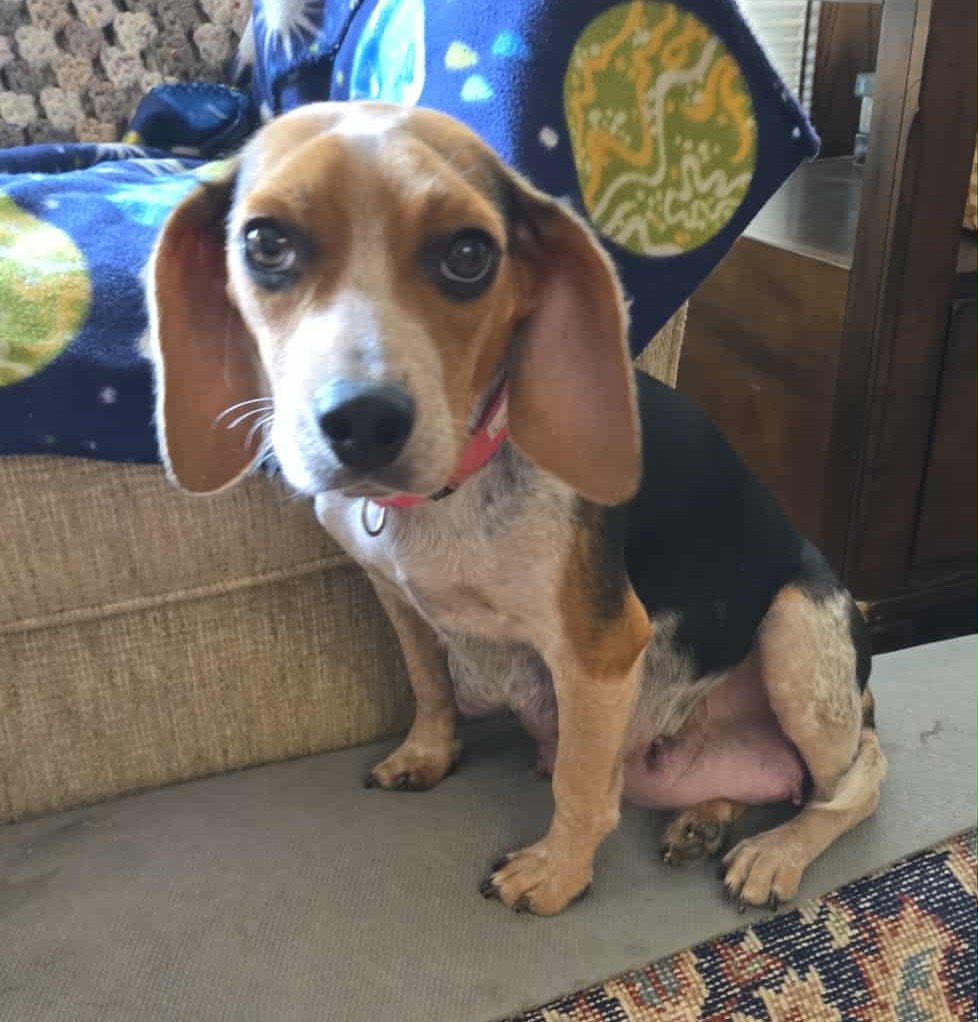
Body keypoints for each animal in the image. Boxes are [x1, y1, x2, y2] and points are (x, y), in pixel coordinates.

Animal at [147, 101, 886, 917]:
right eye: (265, 242)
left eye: (469, 255)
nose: (364, 422)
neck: (444, 496)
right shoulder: (394, 598)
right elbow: (430, 686)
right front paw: (427, 755)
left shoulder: (599, 651)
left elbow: (579, 784)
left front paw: (556, 874)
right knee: (771, 780)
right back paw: (706, 820)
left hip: (799, 633)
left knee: (854, 779)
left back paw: (774, 852)